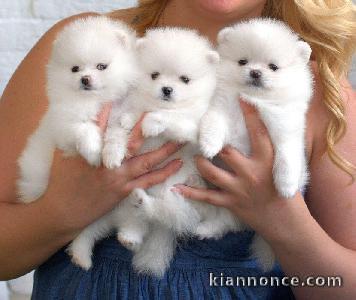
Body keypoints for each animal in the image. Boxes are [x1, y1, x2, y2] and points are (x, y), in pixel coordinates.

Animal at [17, 16, 138, 264]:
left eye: (102, 66)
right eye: (75, 68)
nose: (85, 79)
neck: (95, 101)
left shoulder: (121, 114)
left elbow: (116, 133)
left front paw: (112, 156)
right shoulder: (64, 125)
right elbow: (83, 130)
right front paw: (93, 153)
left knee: (88, 231)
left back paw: (82, 254)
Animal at [101, 28, 220, 276]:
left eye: (185, 79)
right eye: (154, 75)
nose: (167, 89)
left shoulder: (193, 126)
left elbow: (170, 117)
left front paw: (151, 123)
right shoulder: (129, 104)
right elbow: (125, 120)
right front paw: (125, 128)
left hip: (175, 194)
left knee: (166, 212)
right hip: (127, 198)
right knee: (136, 218)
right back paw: (130, 236)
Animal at [199, 19, 312, 270]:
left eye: (273, 67)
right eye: (243, 61)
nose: (255, 72)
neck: (254, 100)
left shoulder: (285, 129)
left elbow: (287, 157)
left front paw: (286, 186)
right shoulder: (221, 106)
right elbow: (214, 123)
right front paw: (208, 144)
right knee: (225, 221)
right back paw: (206, 229)